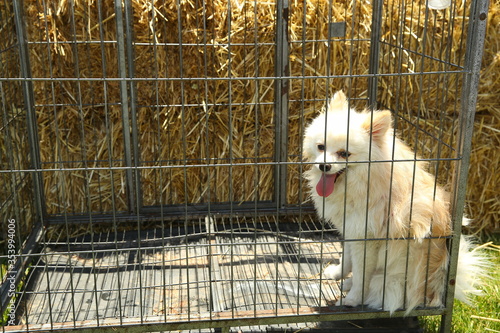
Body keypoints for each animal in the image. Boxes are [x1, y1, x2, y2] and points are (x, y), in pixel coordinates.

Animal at [302, 90, 482, 312]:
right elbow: (347, 259)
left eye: (344, 154)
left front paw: (353, 299)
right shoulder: (352, 229)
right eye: (321, 147)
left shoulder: (366, 241)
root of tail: (438, 289)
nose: (323, 166)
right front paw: (337, 274)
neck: (367, 179)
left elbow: (361, 275)